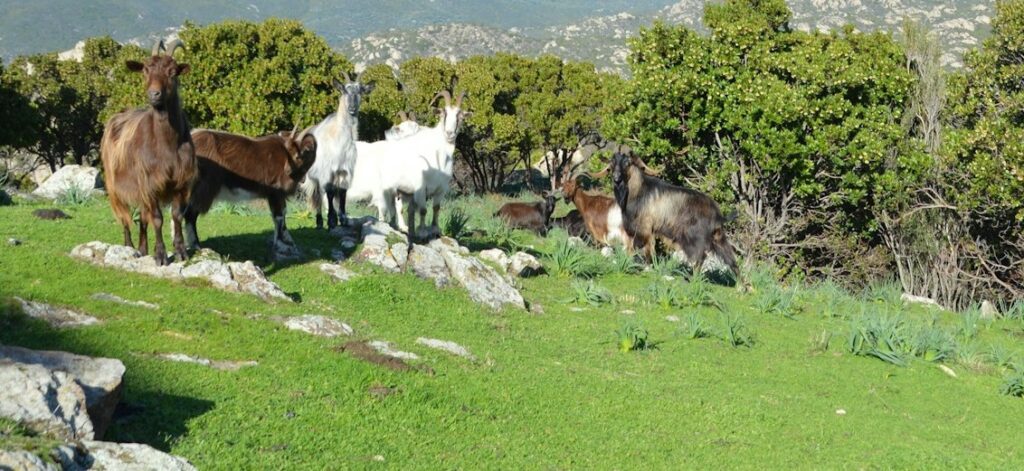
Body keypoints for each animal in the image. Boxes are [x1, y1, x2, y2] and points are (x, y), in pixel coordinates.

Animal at [99, 39, 196, 265]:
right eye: (145, 70)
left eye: (172, 72)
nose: (154, 94)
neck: (167, 145)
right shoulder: (149, 183)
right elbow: (158, 219)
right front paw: (160, 255)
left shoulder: (181, 183)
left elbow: (176, 216)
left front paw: (180, 251)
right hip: (114, 186)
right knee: (125, 217)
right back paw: (128, 247)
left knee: (142, 218)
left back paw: (142, 249)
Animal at [182, 126, 317, 256]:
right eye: (292, 153)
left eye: (302, 153)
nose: (288, 170)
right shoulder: (276, 192)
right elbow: (279, 215)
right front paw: (282, 246)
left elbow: (280, 215)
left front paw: (287, 242)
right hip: (201, 190)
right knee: (190, 214)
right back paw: (197, 246)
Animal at [303, 73, 373, 230]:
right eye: (344, 90)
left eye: (360, 91)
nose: (352, 108)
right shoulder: (328, 171)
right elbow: (329, 193)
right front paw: (331, 221)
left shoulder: (345, 171)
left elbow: (342, 193)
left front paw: (343, 219)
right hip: (312, 176)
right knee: (317, 195)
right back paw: (319, 222)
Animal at [608, 152, 740, 279]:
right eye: (613, 162)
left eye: (627, 162)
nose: (616, 178)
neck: (638, 191)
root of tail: (717, 213)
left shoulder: (643, 229)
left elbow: (637, 249)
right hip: (718, 237)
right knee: (730, 259)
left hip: (694, 238)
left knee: (700, 257)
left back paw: (693, 279)